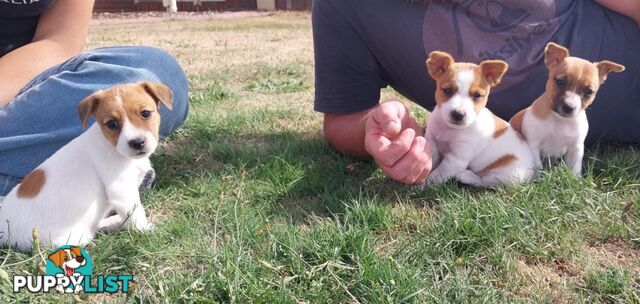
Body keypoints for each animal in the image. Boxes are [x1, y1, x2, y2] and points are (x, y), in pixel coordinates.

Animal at [0, 81, 172, 252]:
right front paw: (146, 232)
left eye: (145, 113)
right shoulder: (121, 190)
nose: (137, 142)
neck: (112, 147)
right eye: (112, 124)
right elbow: (136, 215)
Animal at [424, 51, 536, 186]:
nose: (458, 114)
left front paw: (421, 185)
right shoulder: (431, 140)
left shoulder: (456, 160)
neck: (449, 129)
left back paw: (466, 176)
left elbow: (435, 176)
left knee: (484, 181)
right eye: (447, 90)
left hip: (506, 175)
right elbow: (432, 159)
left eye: (477, 95)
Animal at [510, 42, 624, 176]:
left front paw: (575, 179)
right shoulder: (534, 146)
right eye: (560, 81)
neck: (560, 120)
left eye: (588, 92)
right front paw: (539, 178)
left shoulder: (576, 149)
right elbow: (538, 168)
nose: (569, 106)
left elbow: (574, 170)